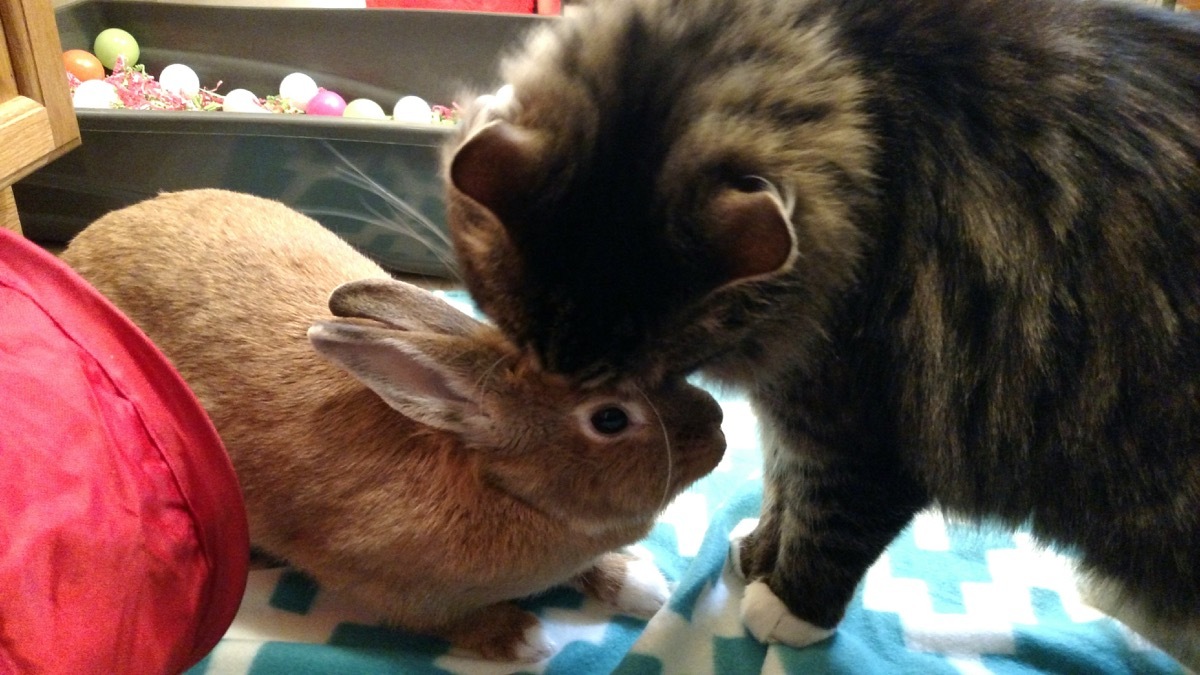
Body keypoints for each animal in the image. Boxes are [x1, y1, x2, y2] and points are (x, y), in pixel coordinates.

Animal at [60, 186, 724, 658]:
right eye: (609, 418)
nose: (719, 429)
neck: (497, 481)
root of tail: (80, 241)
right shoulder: (387, 586)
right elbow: (444, 620)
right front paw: (523, 637)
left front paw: (643, 587)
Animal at [444, 0, 1200, 662]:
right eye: (523, 344)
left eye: (622, 387)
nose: (551, 396)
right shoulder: (793, 409)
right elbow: (784, 484)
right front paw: (758, 554)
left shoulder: (866, 429)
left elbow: (830, 521)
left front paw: (788, 607)